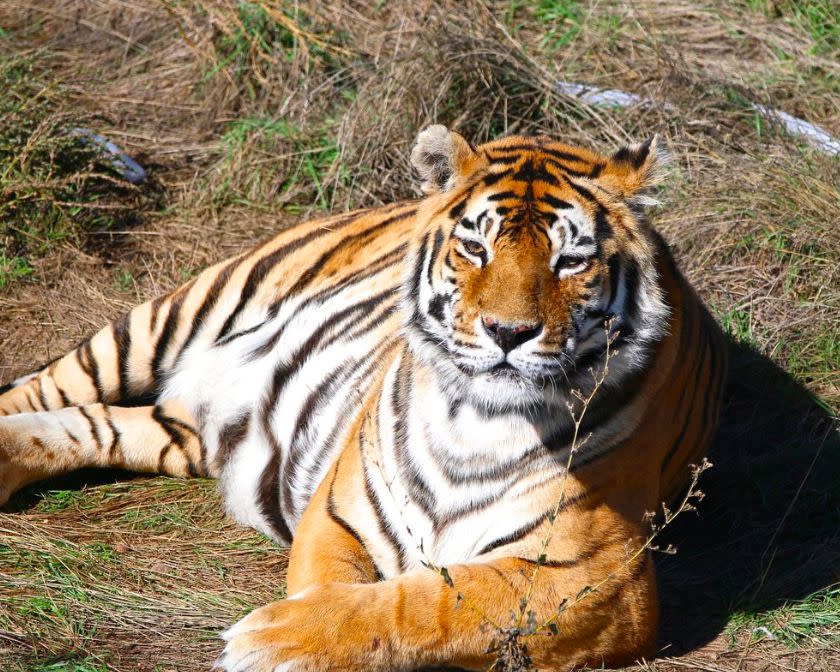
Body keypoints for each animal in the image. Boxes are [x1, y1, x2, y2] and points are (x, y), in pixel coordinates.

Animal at [0, 127, 724, 672]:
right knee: (46, 386)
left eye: (571, 262)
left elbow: (437, 599)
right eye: (474, 248)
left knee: (89, 422)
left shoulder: (596, 578)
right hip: (171, 317)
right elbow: (343, 586)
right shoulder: (339, 513)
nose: (507, 333)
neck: (477, 420)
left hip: (177, 430)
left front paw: (278, 637)